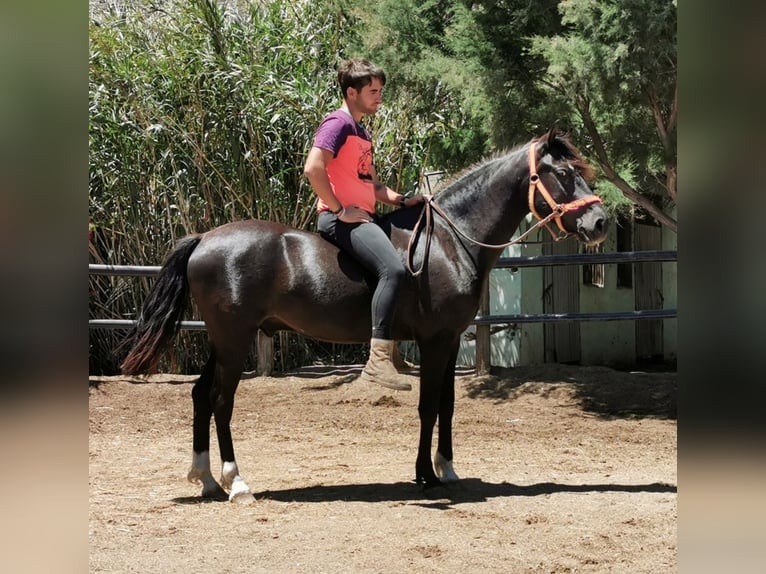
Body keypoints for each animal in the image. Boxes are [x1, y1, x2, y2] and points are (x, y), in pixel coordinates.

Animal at [120, 128, 608, 502]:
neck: (447, 240)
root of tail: (204, 239)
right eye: (564, 174)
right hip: (235, 340)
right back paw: (236, 482)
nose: (600, 222)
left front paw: (446, 468)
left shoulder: (451, 340)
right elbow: (428, 406)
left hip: (222, 341)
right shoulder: (434, 341)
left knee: (201, 395)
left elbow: (447, 404)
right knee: (222, 401)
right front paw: (425, 475)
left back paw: (205, 479)